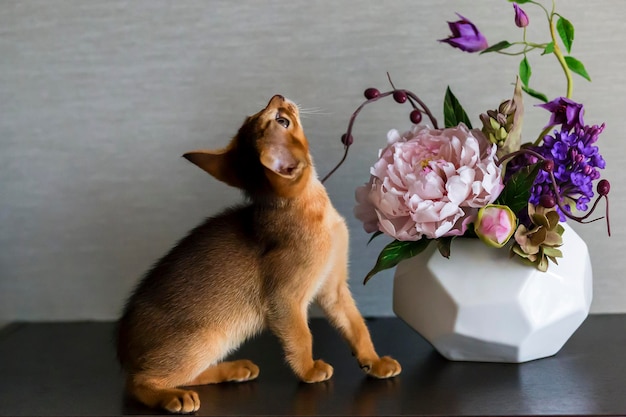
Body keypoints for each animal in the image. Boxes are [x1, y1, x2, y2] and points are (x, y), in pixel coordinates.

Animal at [116, 95, 400, 412]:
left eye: (253, 118)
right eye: (281, 121)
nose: (278, 97)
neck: (314, 209)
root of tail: (123, 348)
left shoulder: (334, 289)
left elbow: (357, 326)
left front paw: (374, 362)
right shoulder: (283, 300)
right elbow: (301, 336)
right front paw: (309, 370)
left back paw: (234, 369)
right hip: (203, 339)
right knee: (139, 383)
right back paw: (174, 396)